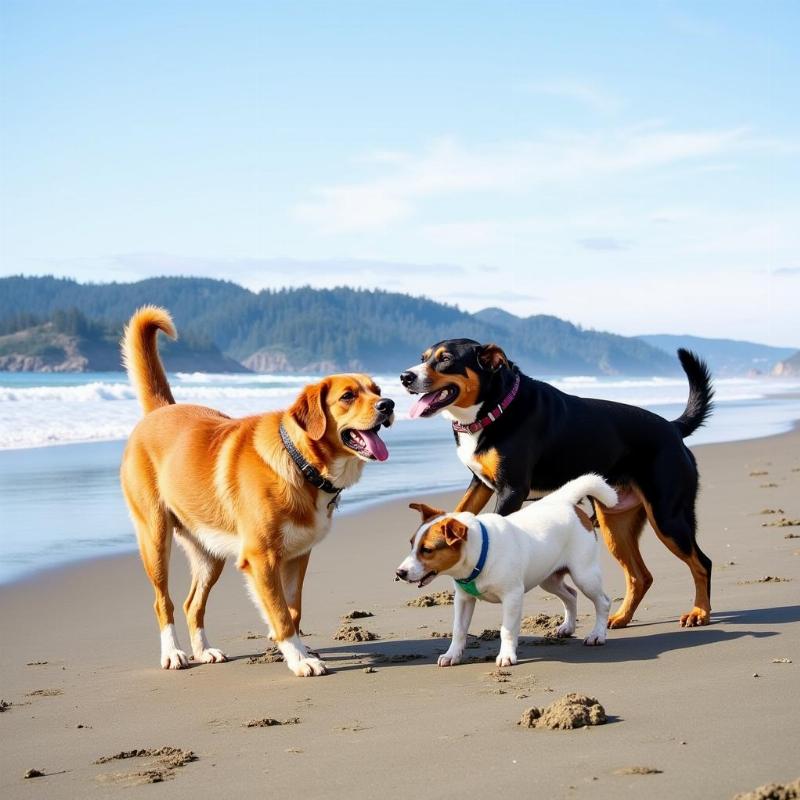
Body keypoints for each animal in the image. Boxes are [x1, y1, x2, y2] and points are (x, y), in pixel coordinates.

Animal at [396, 476, 616, 668]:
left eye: (427, 550)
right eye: (411, 544)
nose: (400, 572)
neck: (481, 553)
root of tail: (566, 502)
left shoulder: (512, 597)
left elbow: (507, 630)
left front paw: (506, 656)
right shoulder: (463, 599)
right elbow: (459, 629)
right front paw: (452, 655)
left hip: (584, 575)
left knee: (602, 602)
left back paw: (597, 635)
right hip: (548, 578)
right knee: (571, 595)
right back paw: (568, 627)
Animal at [404, 340, 716, 628]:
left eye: (446, 359)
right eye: (423, 357)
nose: (405, 377)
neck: (495, 409)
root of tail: (673, 428)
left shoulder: (512, 489)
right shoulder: (480, 485)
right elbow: (461, 509)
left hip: (668, 518)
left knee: (702, 563)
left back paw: (699, 612)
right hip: (615, 523)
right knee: (641, 576)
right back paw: (621, 617)